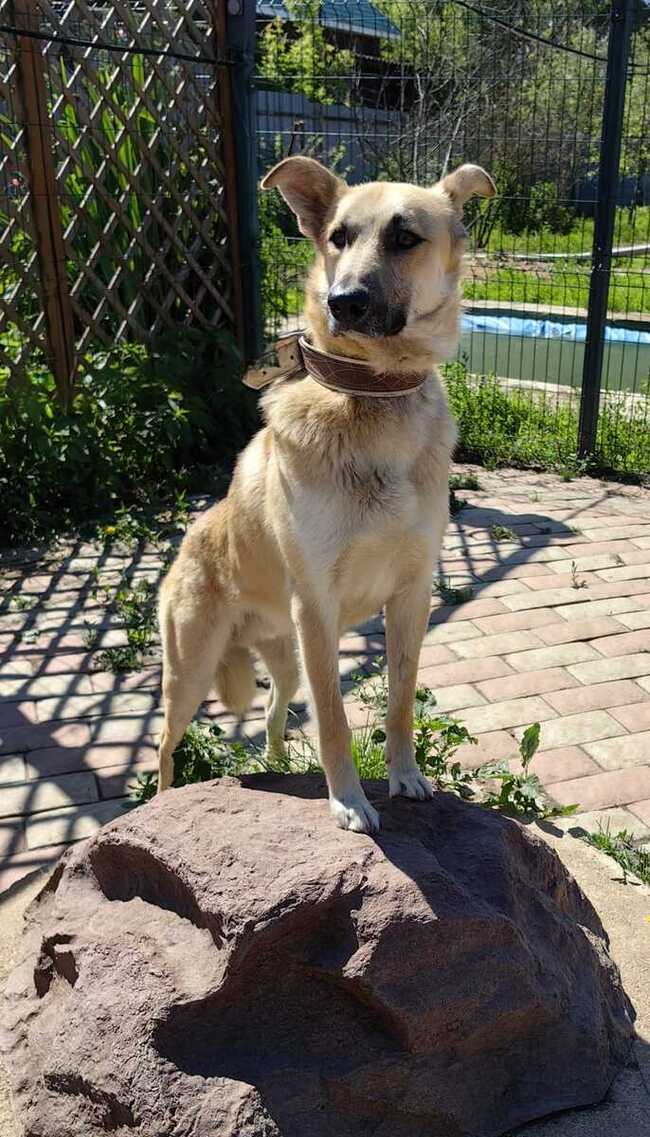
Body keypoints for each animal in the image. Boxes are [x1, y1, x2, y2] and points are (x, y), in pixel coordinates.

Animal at [155, 158, 493, 836]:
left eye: (405, 237)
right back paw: (156, 800)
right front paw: (349, 802)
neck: (370, 392)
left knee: (271, 713)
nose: (344, 302)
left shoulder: (412, 597)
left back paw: (278, 766)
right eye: (338, 237)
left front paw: (405, 775)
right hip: (191, 674)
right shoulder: (319, 608)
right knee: (165, 745)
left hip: (284, 660)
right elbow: (334, 718)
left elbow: (399, 699)